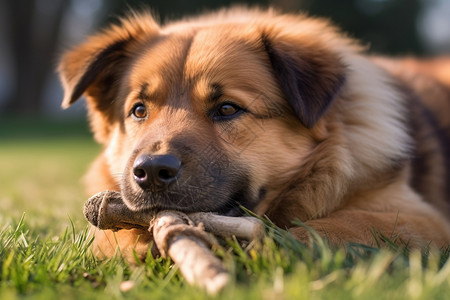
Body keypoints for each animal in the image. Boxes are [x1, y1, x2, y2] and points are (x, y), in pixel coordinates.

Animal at [57, 7, 450, 260]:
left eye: (227, 109)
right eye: (139, 110)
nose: (151, 172)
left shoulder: (420, 217)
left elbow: (337, 225)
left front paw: (276, 246)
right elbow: (111, 240)